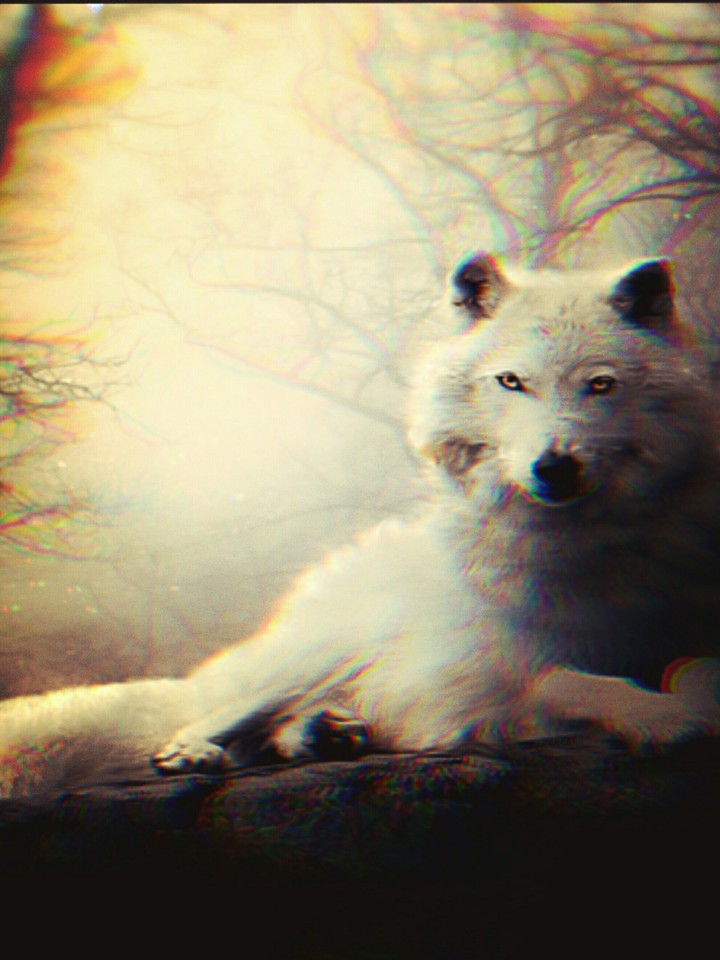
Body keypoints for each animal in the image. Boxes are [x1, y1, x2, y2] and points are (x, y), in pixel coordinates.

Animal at [2, 253, 719, 800]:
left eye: (600, 385)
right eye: (511, 382)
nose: (554, 467)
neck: (588, 544)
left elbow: (691, 667)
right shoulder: (499, 680)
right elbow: (572, 679)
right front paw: (661, 717)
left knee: (277, 734)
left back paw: (328, 733)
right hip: (324, 647)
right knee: (224, 715)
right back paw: (199, 749)